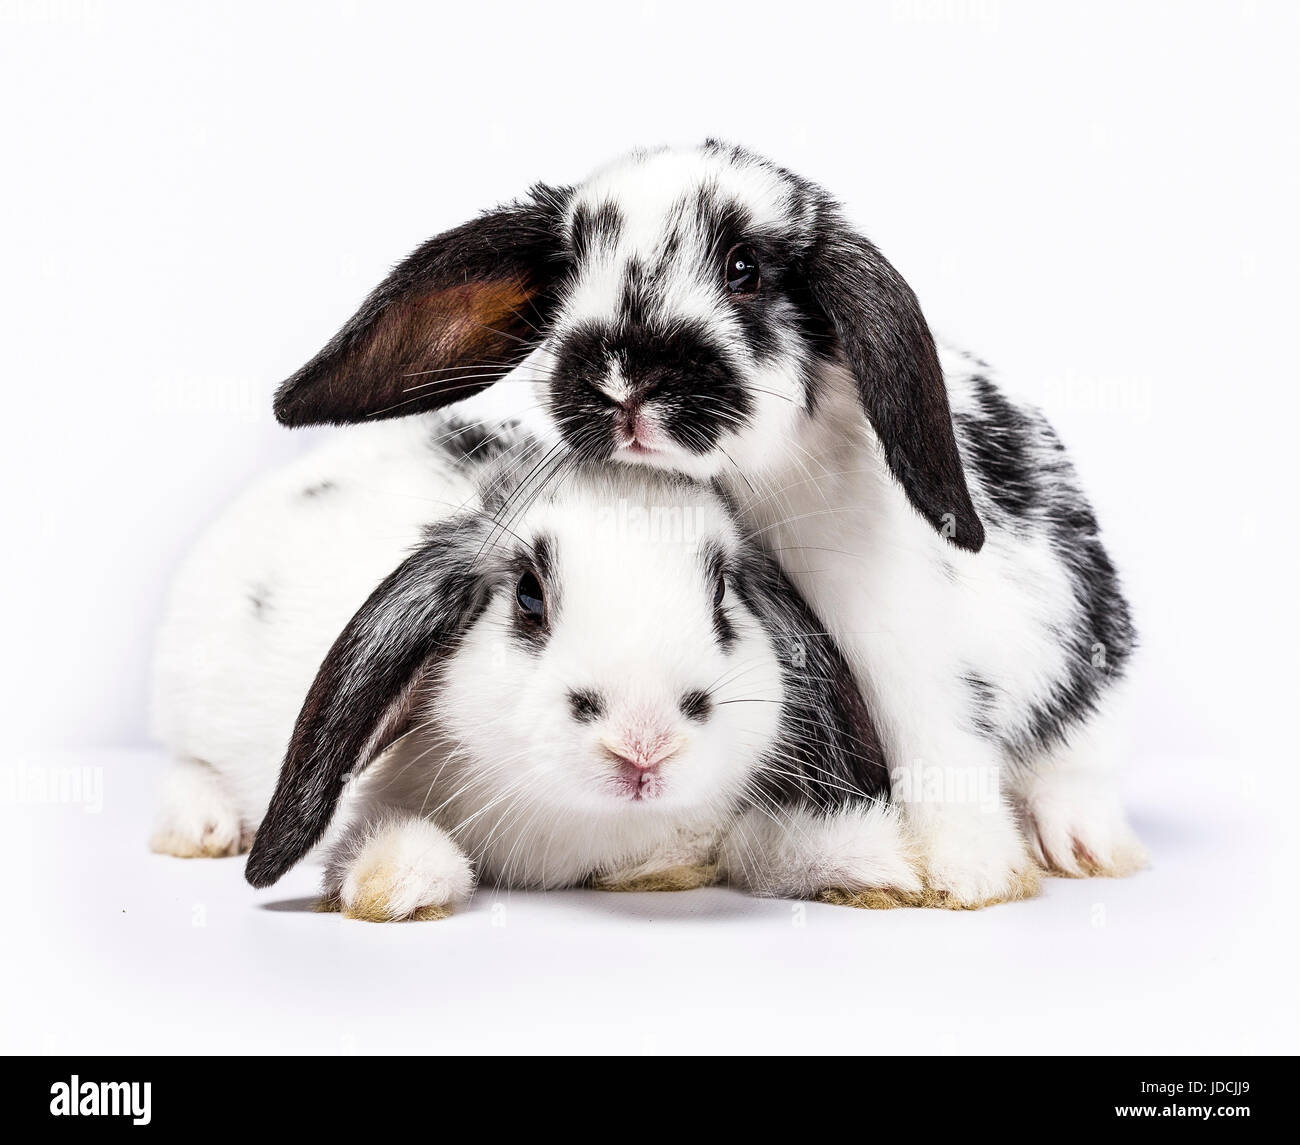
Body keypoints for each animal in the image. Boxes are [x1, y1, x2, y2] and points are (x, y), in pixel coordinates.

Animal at [152, 421, 920, 920]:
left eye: (722, 592)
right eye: (527, 595)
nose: (644, 744)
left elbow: (762, 847)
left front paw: (875, 863)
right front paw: (396, 879)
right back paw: (201, 828)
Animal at [266, 138, 1149, 904]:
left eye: (744, 269)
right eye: (568, 270)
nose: (624, 376)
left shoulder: (909, 659)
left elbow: (940, 749)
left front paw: (966, 877)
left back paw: (1082, 845)